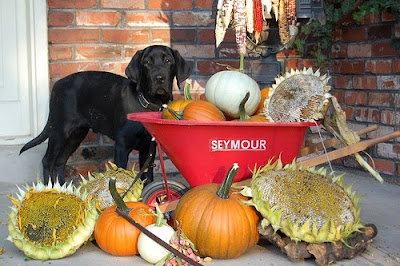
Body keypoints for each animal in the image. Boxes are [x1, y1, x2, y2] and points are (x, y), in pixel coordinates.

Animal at [19, 45, 193, 185]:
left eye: (168, 61)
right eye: (147, 62)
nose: (159, 78)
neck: (147, 104)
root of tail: (57, 85)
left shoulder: (148, 149)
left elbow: (147, 178)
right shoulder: (122, 145)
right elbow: (121, 175)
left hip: (76, 134)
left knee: (61, 160)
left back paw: (63, 188)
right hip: (59, 131)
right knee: (48, 161)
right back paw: (49, 188)